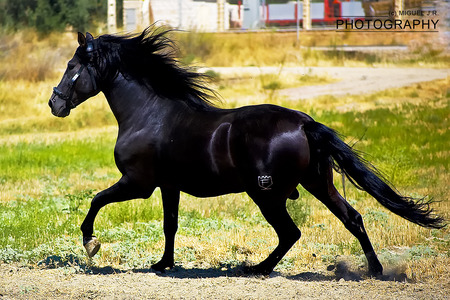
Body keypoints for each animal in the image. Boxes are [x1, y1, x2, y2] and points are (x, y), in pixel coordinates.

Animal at [48, 28, 442, 276]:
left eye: (71, 67)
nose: (55, 104)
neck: (149, 115)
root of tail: (304, 123)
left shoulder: (138, 183)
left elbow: (96, 201)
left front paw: (91, 244)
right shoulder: (168, 186)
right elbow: (169, 224)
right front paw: (163, 264)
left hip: (267, 194)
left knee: (291, 233)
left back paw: (257, 269)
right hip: (318, 184)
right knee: (353, 218)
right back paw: (374, 271)